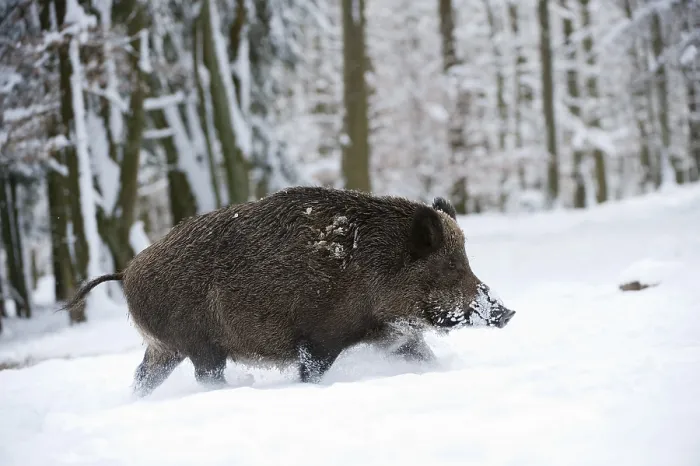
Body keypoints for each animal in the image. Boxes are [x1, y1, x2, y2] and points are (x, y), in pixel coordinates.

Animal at [63, 186, 515, 396]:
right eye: (452, 264)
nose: (507, 313)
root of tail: (126, 273)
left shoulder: (398, 340)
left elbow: (426, 357)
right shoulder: (318, 340)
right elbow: (312, 372)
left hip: (163, 348)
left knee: (142, 377)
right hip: (199, 345)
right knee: (205, 376)